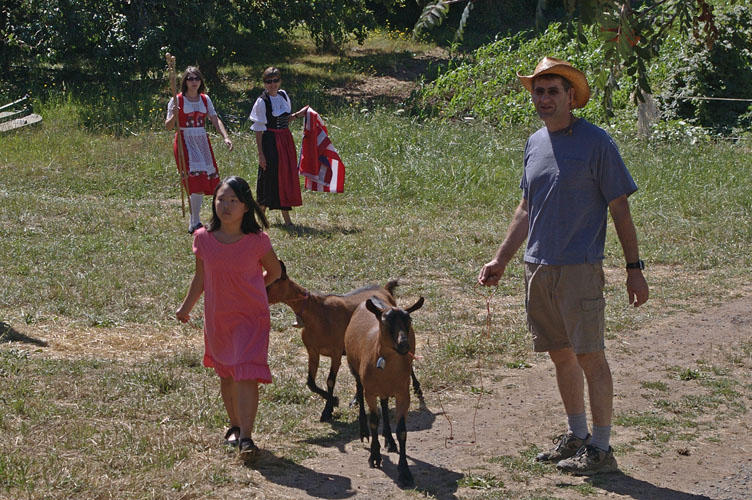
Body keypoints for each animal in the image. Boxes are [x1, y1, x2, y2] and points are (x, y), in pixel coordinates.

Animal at [266, 262, 424, 422]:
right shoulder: (312, 351)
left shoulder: (335, 352)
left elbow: (330, 380)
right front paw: (333, 402)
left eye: (271, 282)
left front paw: (329, 408)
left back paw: (417, 389)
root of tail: (385, 290)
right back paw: (355, 400)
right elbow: (310, 383)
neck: (316, 312)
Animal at [346, 294, 424, 486]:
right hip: (355, 369)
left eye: (409, 320)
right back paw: (364, 432)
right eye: (386, 322)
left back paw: (389, 440)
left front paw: (404, 472)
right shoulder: (370, 391)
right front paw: (374, 457)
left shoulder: (403, 393)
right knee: (359, 392)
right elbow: (374, 420)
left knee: (385, 403)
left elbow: (402, 430)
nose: (404, 344)